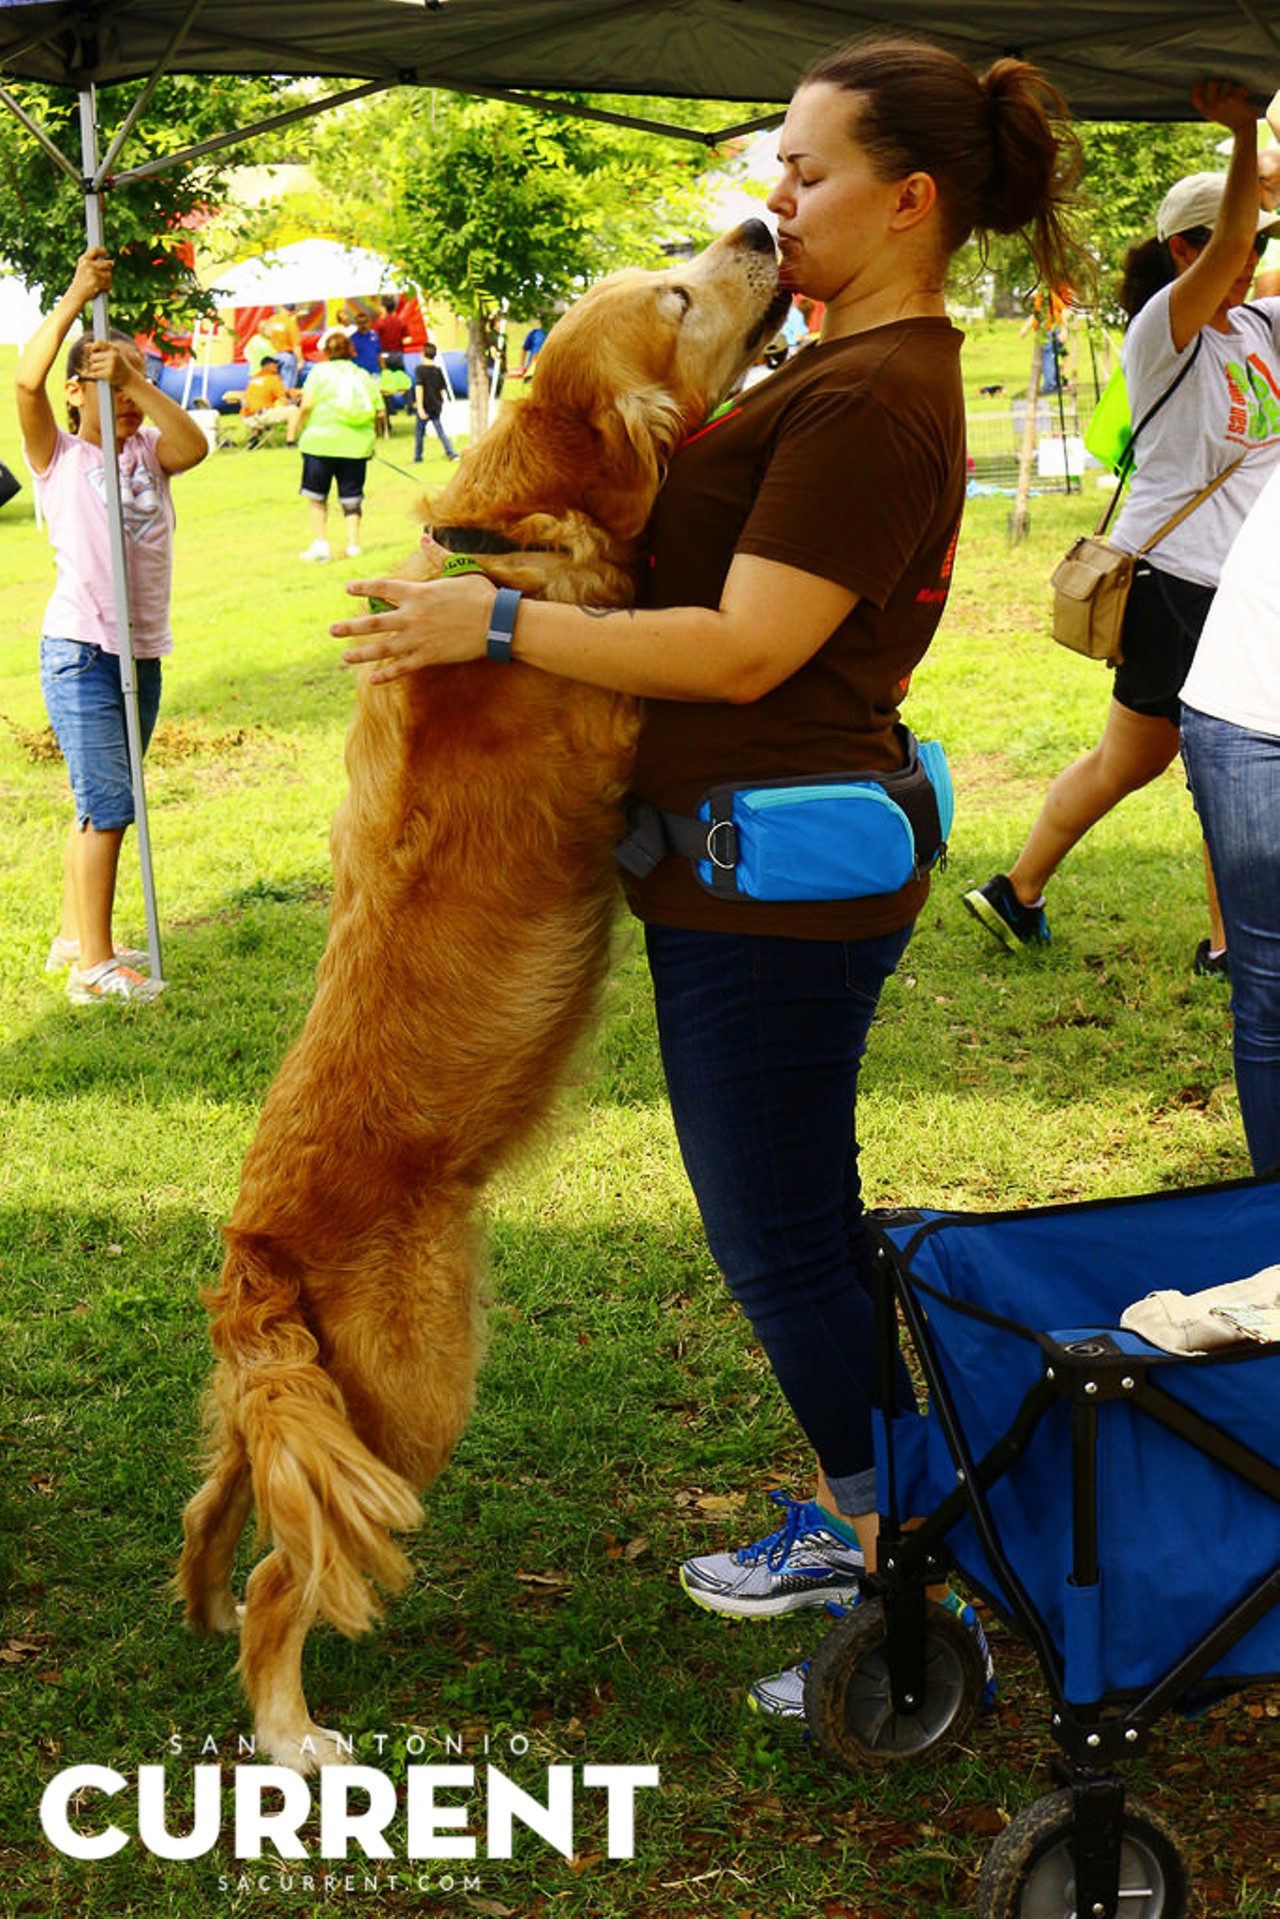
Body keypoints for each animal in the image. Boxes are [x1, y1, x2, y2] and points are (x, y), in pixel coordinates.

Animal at [173, 220, 786, 1765]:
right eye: (678, 291)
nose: (761, 224)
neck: (513, 528)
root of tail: (251, 1251)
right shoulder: (627, 698)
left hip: (308, 1401)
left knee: (233, 1490)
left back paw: (200, 1597)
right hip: (409, 1396)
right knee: (288, 1571)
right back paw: (289, 1729)